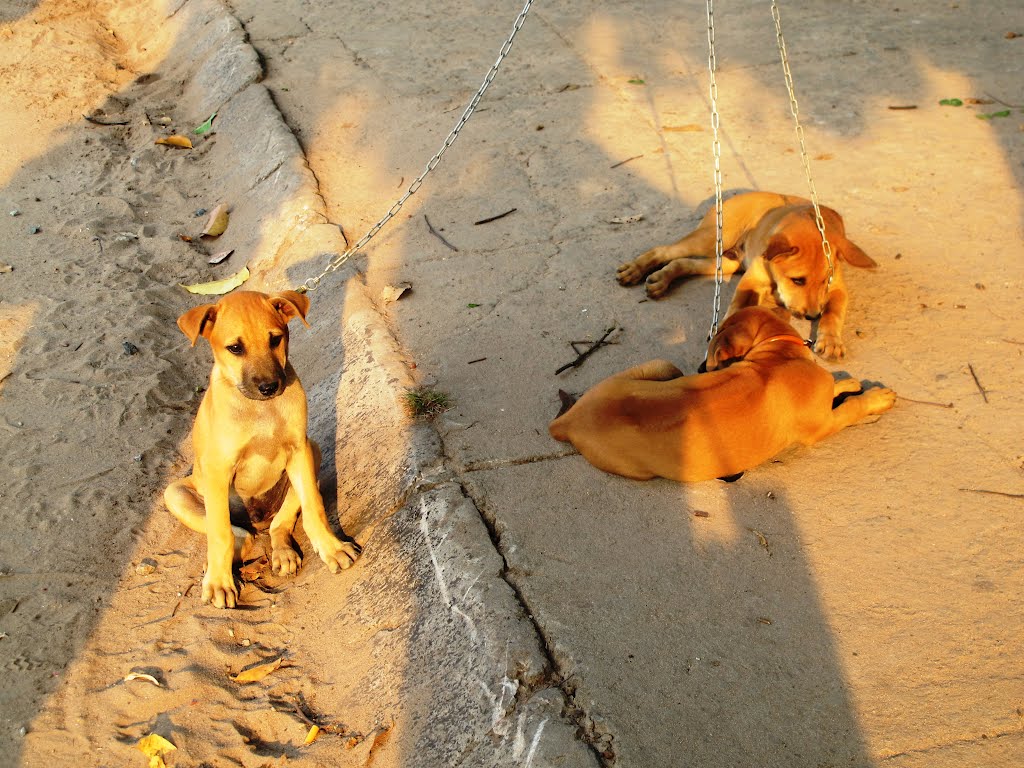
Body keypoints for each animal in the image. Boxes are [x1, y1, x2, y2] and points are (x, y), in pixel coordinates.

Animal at [163, 290, 360, 610]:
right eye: (234, 348)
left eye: (275, 339)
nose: (269, 386)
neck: (260, 410)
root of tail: (259, 519)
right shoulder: (218, 470)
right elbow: (220, 533)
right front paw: (219, 583)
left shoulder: (299, 449)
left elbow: (313, 508)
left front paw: (332, 548)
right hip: (176, 493)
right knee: (239, 535)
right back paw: (224, 562)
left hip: (313, 451)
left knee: (280, 524)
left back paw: (284, 554)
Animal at [552, 305, 897, 481]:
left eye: (715, 356)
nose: (701, 368)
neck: (779, 354)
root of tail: (569, 420)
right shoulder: (822, 426)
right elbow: (851, 409)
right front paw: (876, 398)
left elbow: (836, 388)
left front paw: (847, 383)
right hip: (637, 471)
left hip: (661, 365)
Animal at [610, 192, 876, 360]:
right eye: (798, 280)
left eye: (825, 281)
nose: (812, 316)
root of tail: (730, 198)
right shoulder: (751, 281)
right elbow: (737, 307)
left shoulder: (838, 289)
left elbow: (834, 313)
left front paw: (830, 341)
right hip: (712, 240)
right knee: (664, 250)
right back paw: (635, 270)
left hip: (726, 263)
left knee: (681, 263)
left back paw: (661, 280)